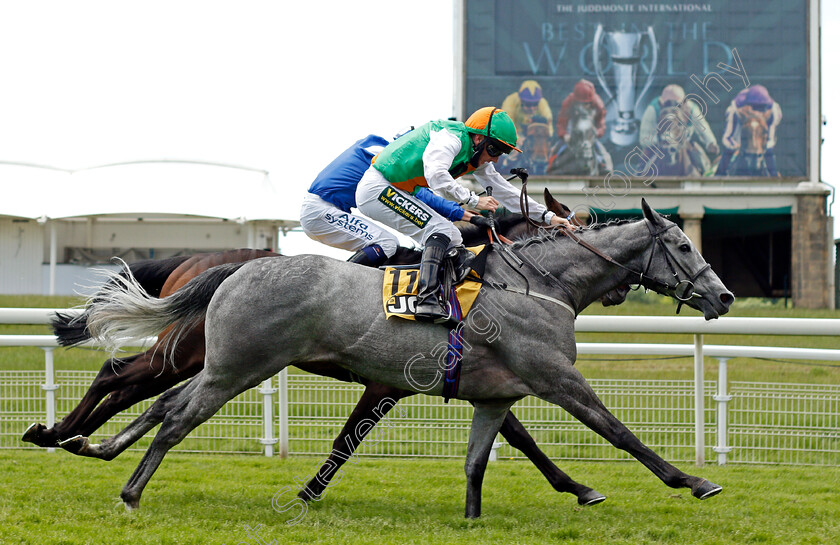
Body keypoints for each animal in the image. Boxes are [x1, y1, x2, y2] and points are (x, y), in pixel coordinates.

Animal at [74, 199, 728, 516]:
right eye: (685, 244)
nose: (722, 295)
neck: (536, 283)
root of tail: (237, 268)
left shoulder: (491, 390)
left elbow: (484, 456)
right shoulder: (554, 378)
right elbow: (617, 431)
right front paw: (691, 481)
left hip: (221, 364)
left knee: (162, 401)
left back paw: (94, 445)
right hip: (237, 365)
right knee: (168, 409)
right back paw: (121, 482)